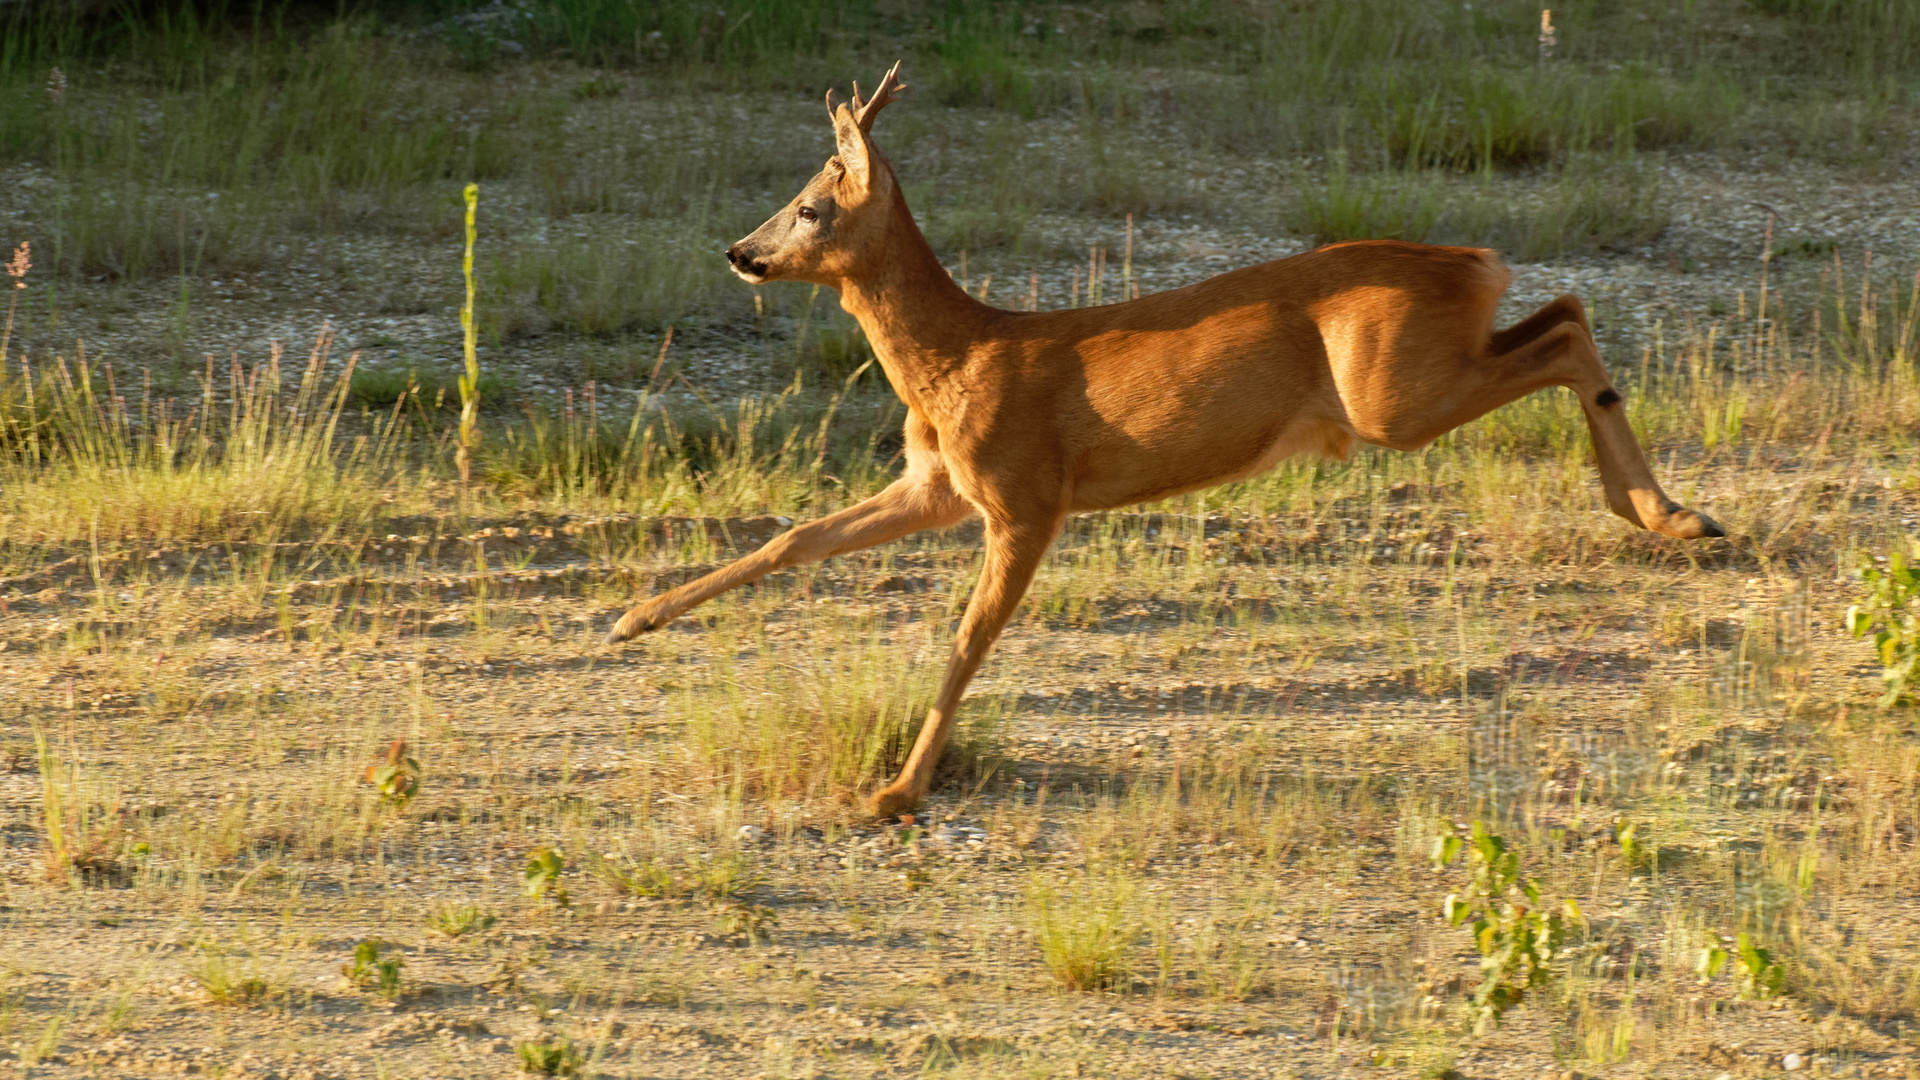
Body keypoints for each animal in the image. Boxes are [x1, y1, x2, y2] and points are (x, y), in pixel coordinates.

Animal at [602, 62, 1728, 810]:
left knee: (1566, 327)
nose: (740, 251)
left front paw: (897, 791)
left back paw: (1670, 514)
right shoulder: (940, 483)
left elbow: (969, 638)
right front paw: (632, 620)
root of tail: (1473, 258)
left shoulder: (1026, 492)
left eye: (810, 204)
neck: (961, 354)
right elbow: (795, 538)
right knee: (1567, 309)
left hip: (1390, 397)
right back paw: (1669, 513)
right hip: (1417, 378)